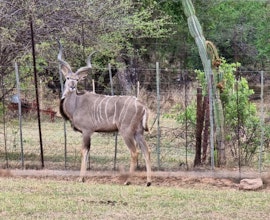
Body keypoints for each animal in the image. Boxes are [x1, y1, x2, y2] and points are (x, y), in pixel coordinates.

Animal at [57, 42, 152, 186]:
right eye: (68, 78)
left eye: (77, 79)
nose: (72, 86)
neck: (76, 104)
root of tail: (142, 105)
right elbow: (87, 152)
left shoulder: (87, 131)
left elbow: (84, 151)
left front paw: (81, 178)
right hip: (139, 132)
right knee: (146, 151)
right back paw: (148, 182)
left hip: (126, 131)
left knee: (134, 152)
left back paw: (127, 181)